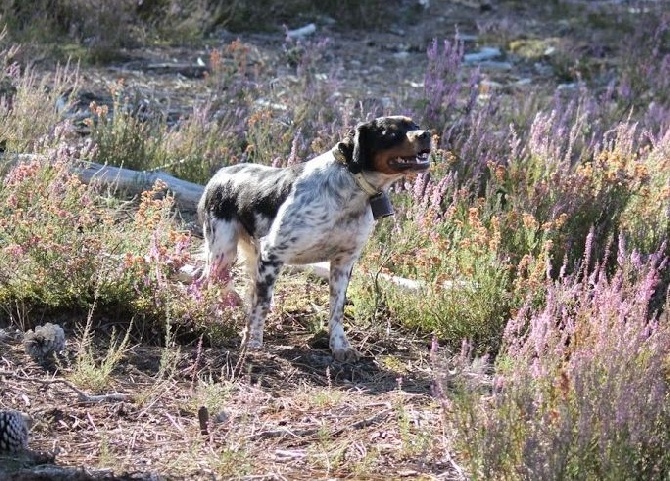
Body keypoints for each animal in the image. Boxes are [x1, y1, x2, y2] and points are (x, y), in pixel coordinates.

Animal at [197, 116, 434, 360]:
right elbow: (262, 304)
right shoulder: (273, 254)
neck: (349, 190)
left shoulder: (343, 261)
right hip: (222, 251)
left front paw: (339, 346)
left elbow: (337, 309)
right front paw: (252, 342)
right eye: (392, 132)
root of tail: (220, 173)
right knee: (209, 281)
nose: (427, 134)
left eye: (415, 126)